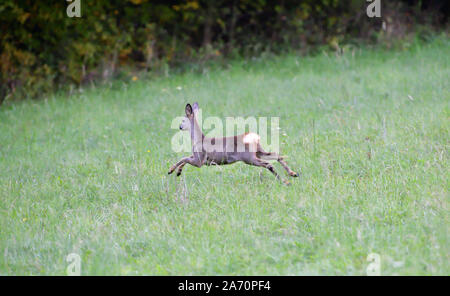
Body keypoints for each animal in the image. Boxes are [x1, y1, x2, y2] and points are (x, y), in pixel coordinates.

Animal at [169, 102, 298, 185]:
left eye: (183, 120)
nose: (180, 127)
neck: (198, 139)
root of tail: (254, 137)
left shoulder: (200, 160)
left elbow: (184, 158)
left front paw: (171, 170)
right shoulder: (197, 158)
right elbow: (185, 158)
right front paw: (178, 172)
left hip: (248, 157)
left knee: (268, 164)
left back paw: (284, 181)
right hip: (258, 151)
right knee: (276, 155)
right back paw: (292, 174)